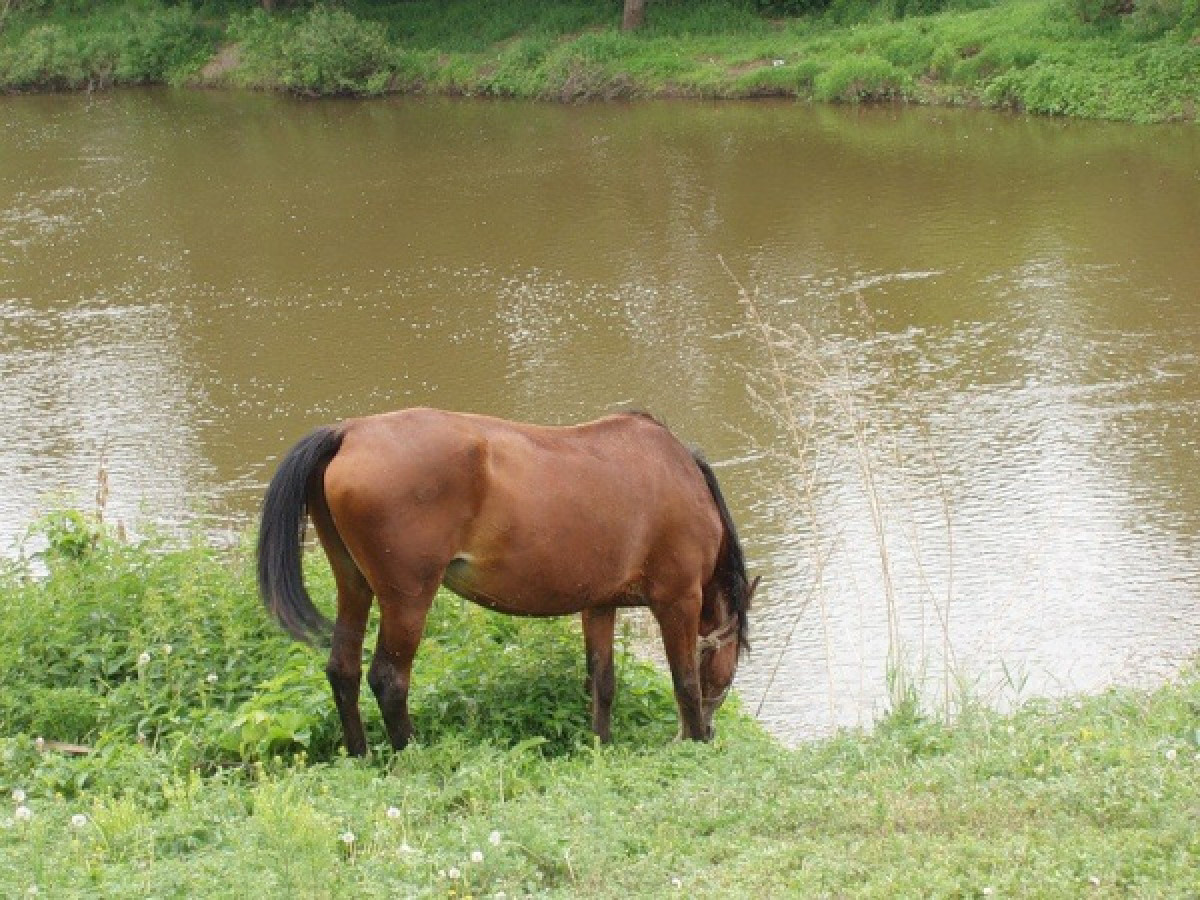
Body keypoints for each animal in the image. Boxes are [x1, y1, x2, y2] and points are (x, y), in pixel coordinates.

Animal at [256, 408, 753, 753]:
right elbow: (684, 681)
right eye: (728, 673)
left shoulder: (599, 604)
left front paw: (602, 745)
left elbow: (602, 681)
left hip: (354, 585)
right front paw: (693, 744)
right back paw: (408, 754)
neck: (680, 476)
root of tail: (349, 432)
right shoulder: (679, 598)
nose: (710, 729)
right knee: (389, 679)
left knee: (344, 670)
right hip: (408, 596)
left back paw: (360, 754)